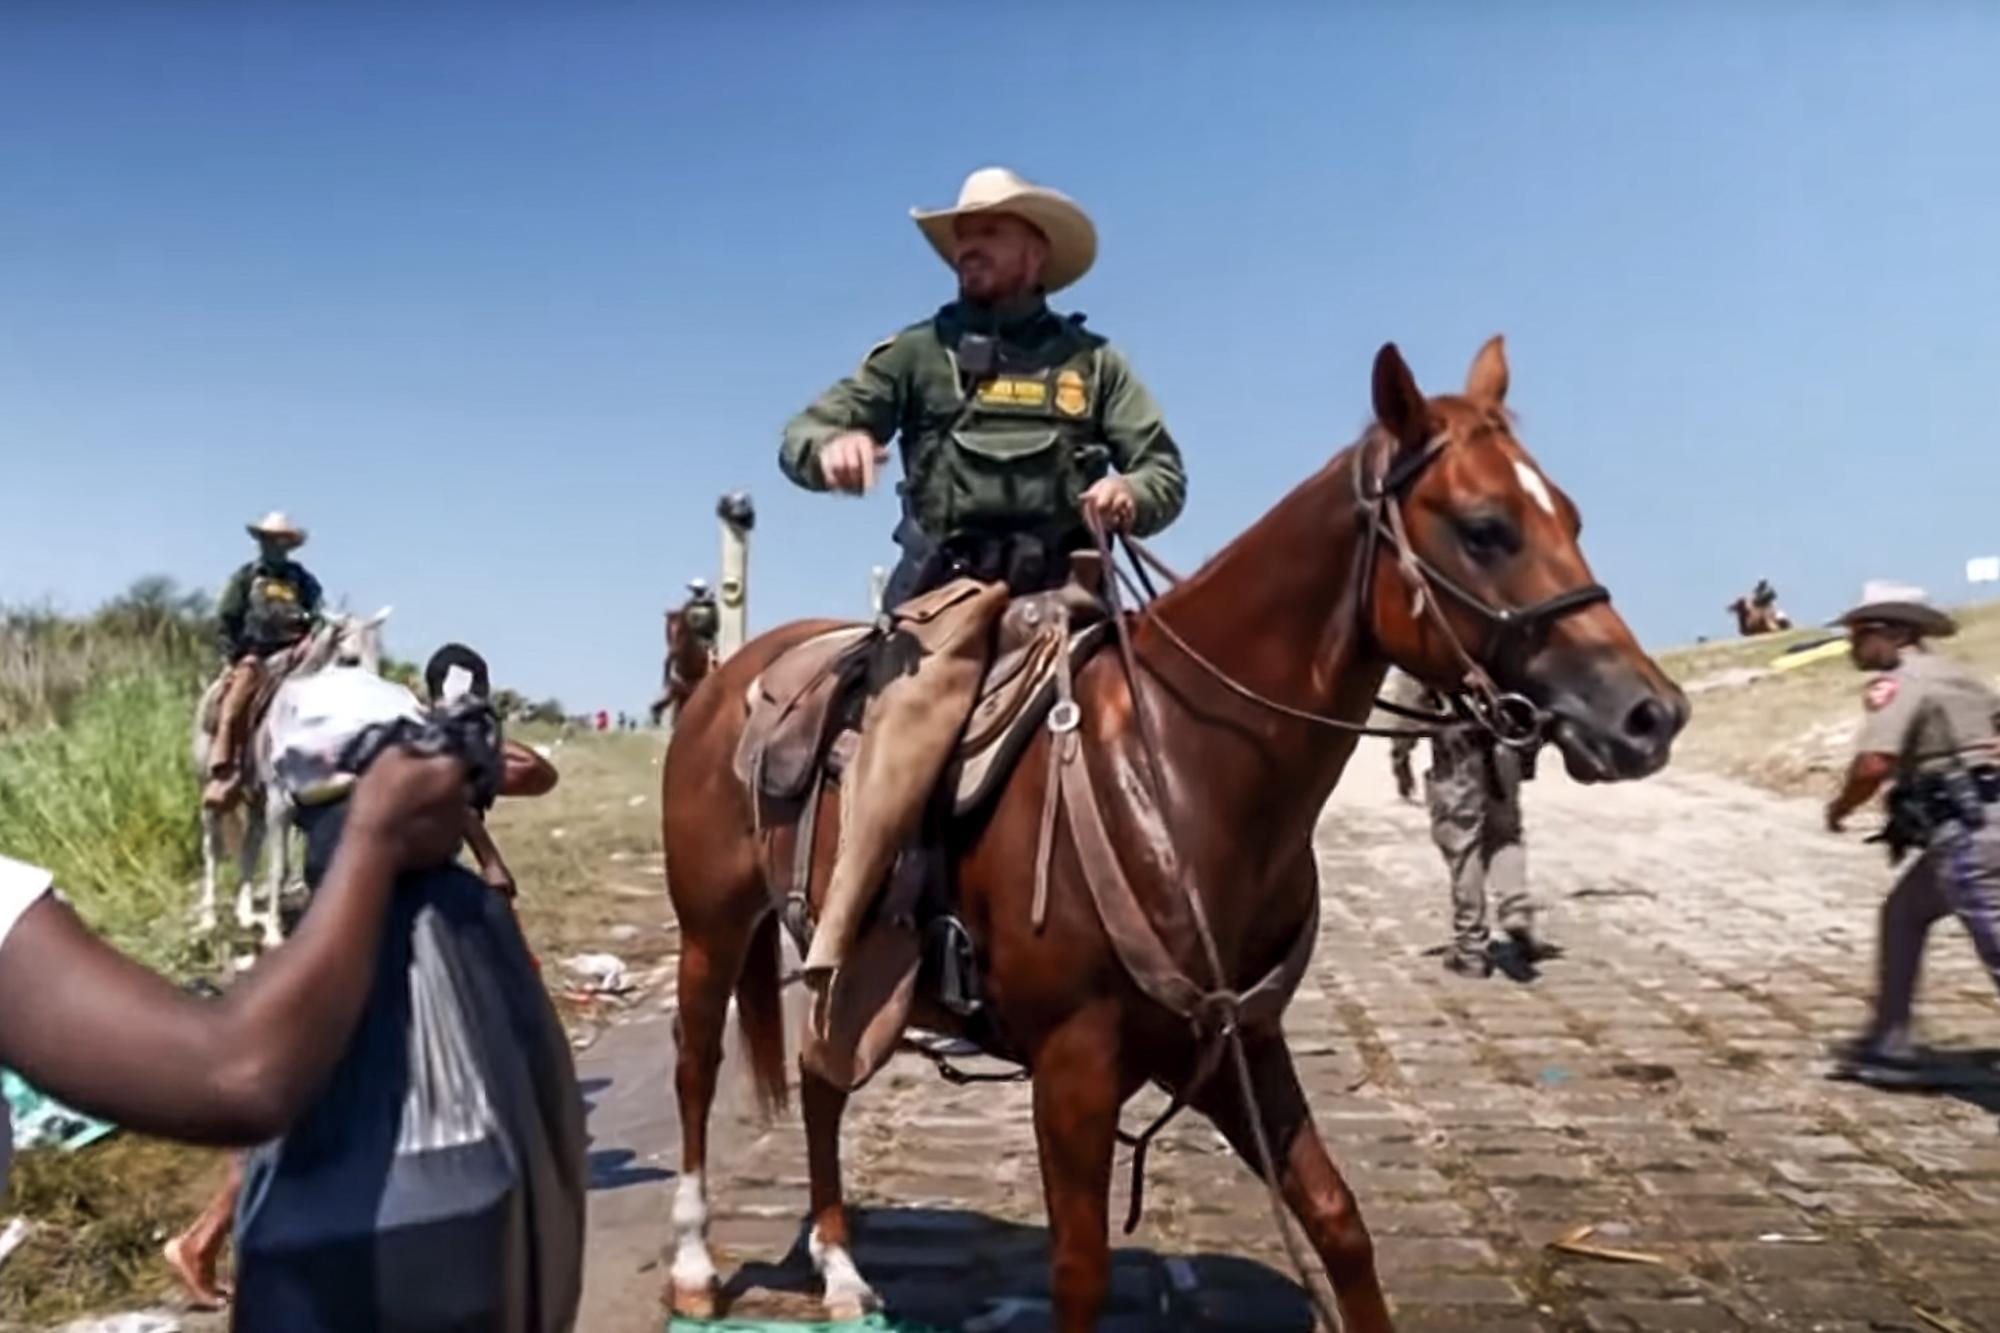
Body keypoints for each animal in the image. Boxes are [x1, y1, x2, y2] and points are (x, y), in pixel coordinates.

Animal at [191, 608, 390, 940]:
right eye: (349, 660)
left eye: (380, 662)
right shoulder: (280, 802)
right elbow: (279, 867)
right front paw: (274, 933)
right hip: (213, 792)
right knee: (213, 848)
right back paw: (208, 918)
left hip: (256, 803)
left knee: (249, 846)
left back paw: (246, 914)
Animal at [660, 338, 1688, 1320]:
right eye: (1484, 528)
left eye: (1571, 517)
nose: (1651, 714)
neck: (1178, 770)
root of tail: (730, 678)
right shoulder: (1073, 1069)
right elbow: (1080, 1272)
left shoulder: (1240, 1042)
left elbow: (1338, 1223)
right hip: (713, 934)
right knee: (697, 1068)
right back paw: (696, 1263)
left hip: (844, 971)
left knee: (821, 1076)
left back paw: (839, 1269)